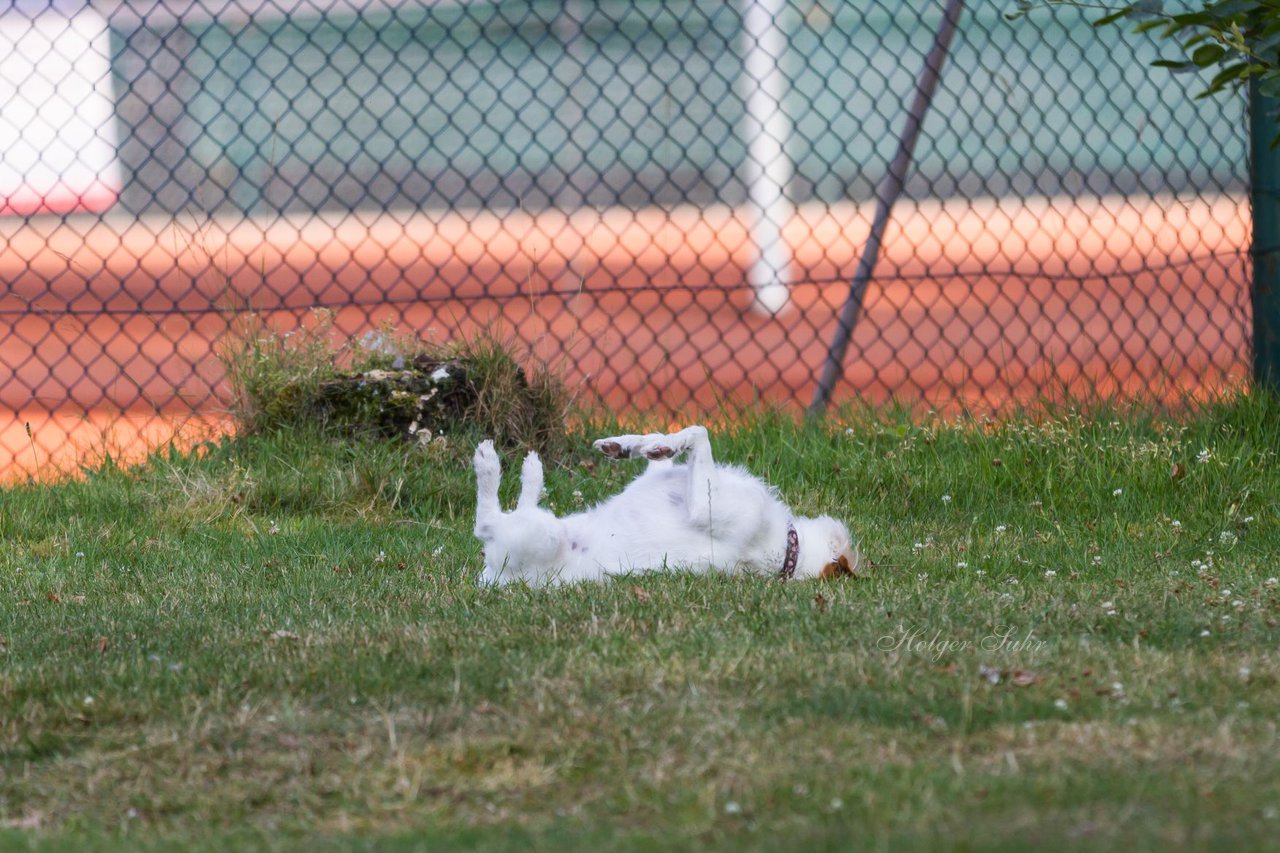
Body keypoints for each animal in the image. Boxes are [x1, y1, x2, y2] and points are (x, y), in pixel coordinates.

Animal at [471, 425, 860, 584]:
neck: (789, 551)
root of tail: (493, 579)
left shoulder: (704, 506)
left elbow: (699, 433)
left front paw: (659, 444)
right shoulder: (659, 476)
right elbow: (666, 447)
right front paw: (627, 445)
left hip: (542, 535)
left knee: (486, 521)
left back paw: (497, 464)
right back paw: (532, 471)